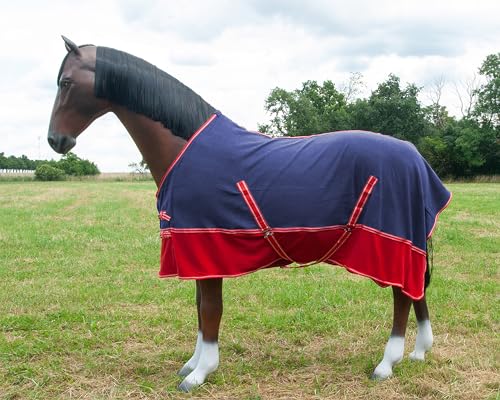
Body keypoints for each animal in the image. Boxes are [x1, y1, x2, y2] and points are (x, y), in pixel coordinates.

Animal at [47, 36, 454, 392]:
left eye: (66, 82)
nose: (56, 140)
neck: (185, 147)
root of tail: (414, 157)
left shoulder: (205, 246)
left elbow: (211, 309)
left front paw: (200, 374)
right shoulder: (197, 252)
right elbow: (200, 309)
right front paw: (193, 364)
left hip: (392, 244)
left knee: (402, 298)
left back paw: (386, 364)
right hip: (409, 244)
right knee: (415, 293)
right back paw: (418, 353)